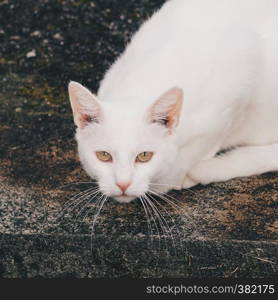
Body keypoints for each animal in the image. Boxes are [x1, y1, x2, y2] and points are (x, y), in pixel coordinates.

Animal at [67, 0, 278, 203]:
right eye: (103, 156)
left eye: (144, 156)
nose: (123, 184)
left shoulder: (243, 71)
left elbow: (203, 146)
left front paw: (178, 177)